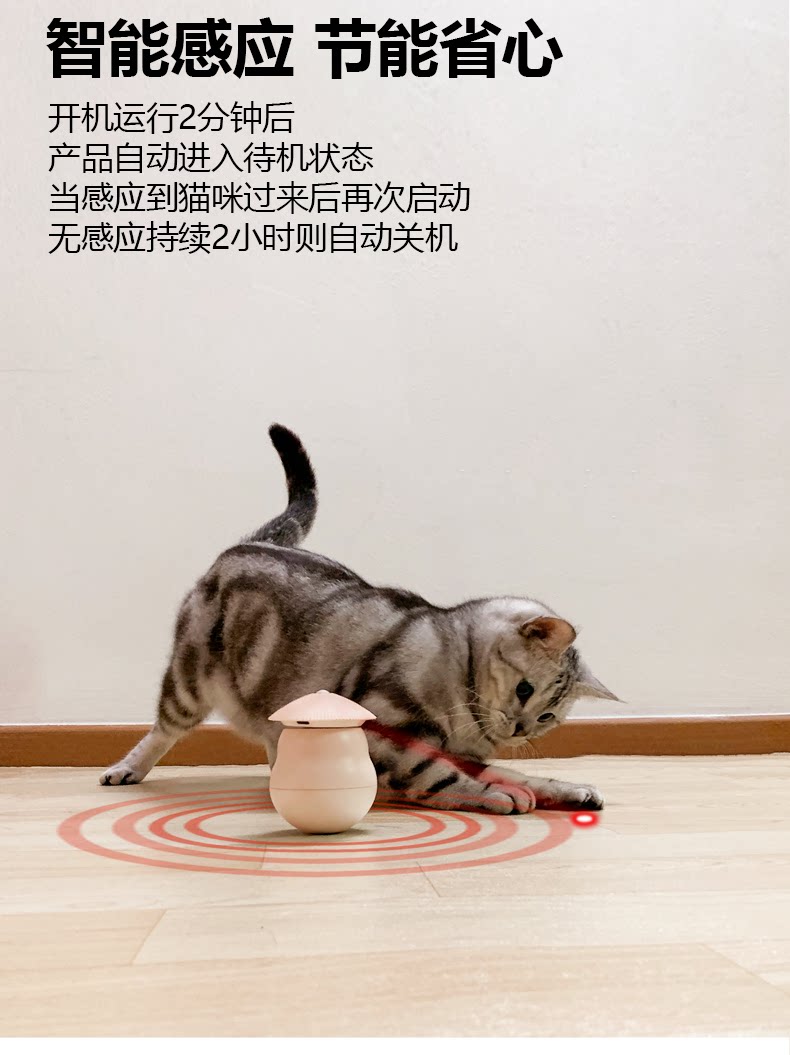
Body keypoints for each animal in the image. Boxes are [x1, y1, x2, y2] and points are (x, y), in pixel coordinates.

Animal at [101, 424, 618, 814]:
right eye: (525, 690)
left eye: (548, 715)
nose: (521, 729)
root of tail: (256, 541)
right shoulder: (390, 737)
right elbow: (443, 779)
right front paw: (496, 795)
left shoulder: (453, 748)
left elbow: (510, 770)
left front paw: (561, 788)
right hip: (188, 682)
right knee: (163, 729)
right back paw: (127, 768)